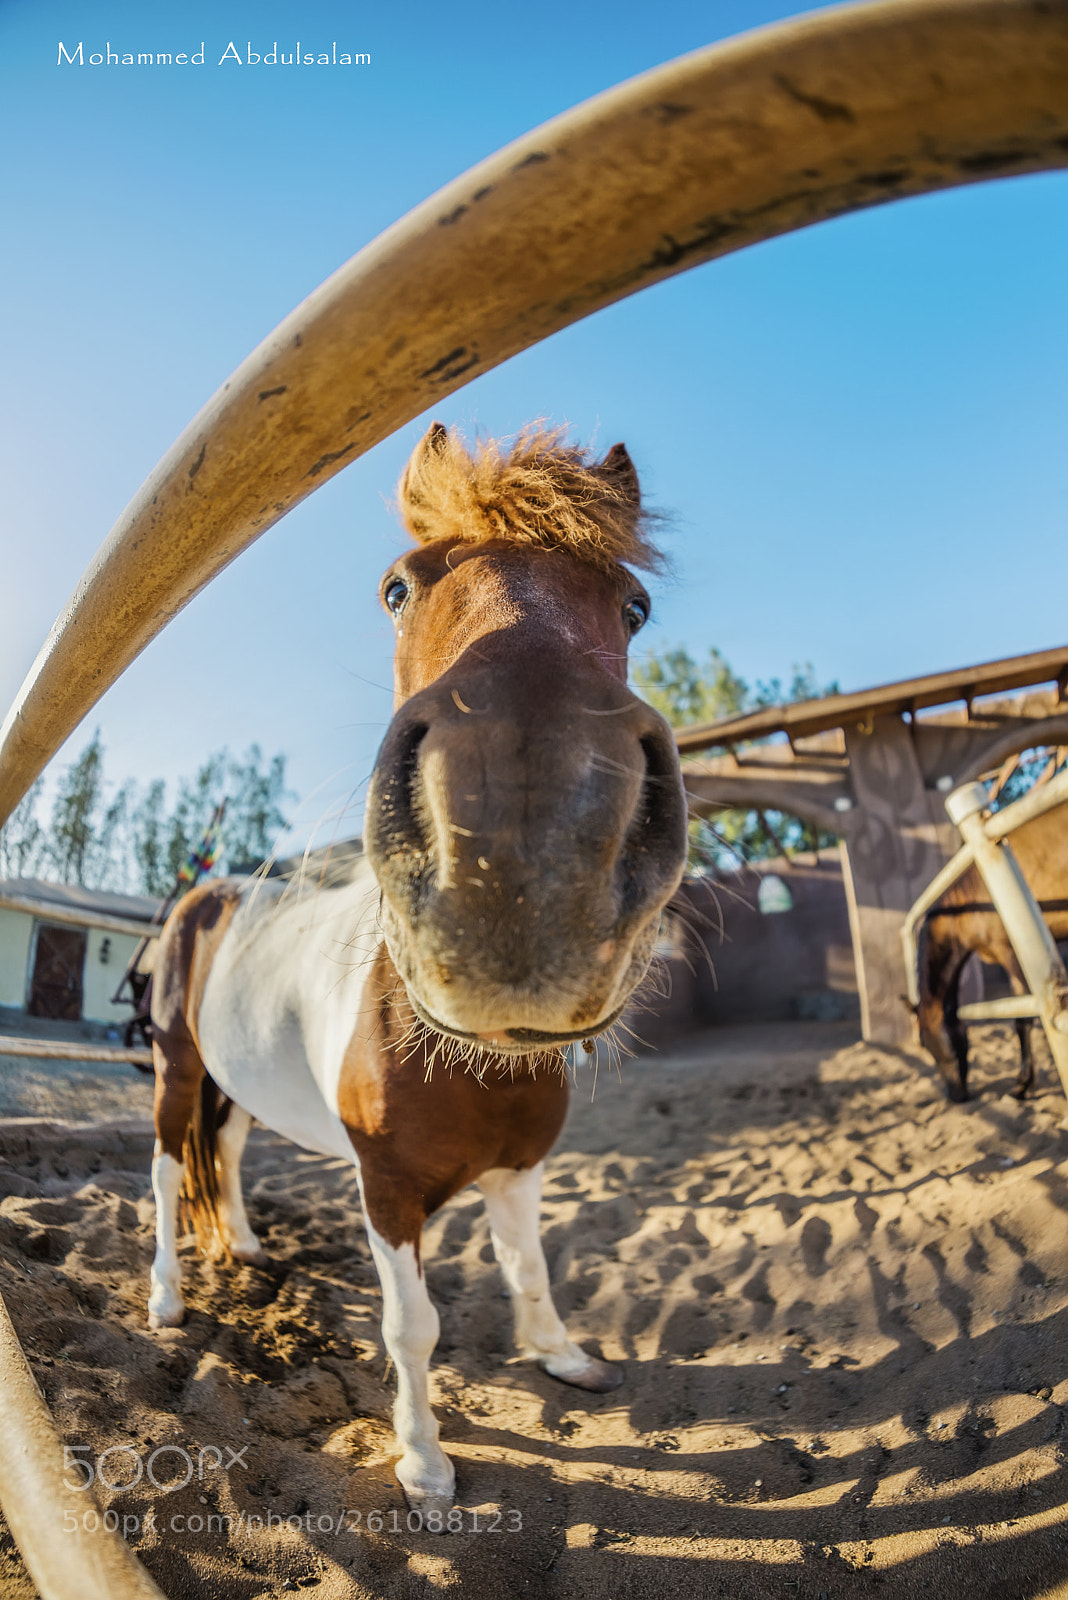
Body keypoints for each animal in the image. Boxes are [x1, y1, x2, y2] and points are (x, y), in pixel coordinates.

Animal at [147, 422, 689, 1515]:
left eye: (635, 606)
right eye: (397, 587)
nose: (525, 846)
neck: (470, 1065)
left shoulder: (521, 1171)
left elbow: (531, 1271)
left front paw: (564, 1357)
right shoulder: (388, 1193)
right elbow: (413, 1327)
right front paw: (425, 1462)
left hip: (231, 1081)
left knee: (224, 1151)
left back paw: (248, 1250)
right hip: (176, 1068)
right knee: (163, 1171)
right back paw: (166, 1300)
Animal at [916, 801, 1068, 1102]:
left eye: (939, 1045)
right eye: (925, 1048)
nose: (955, 1095)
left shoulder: (1013, 956)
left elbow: (1029, 1017)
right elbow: (1020, 1022)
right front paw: (1022, 1084)